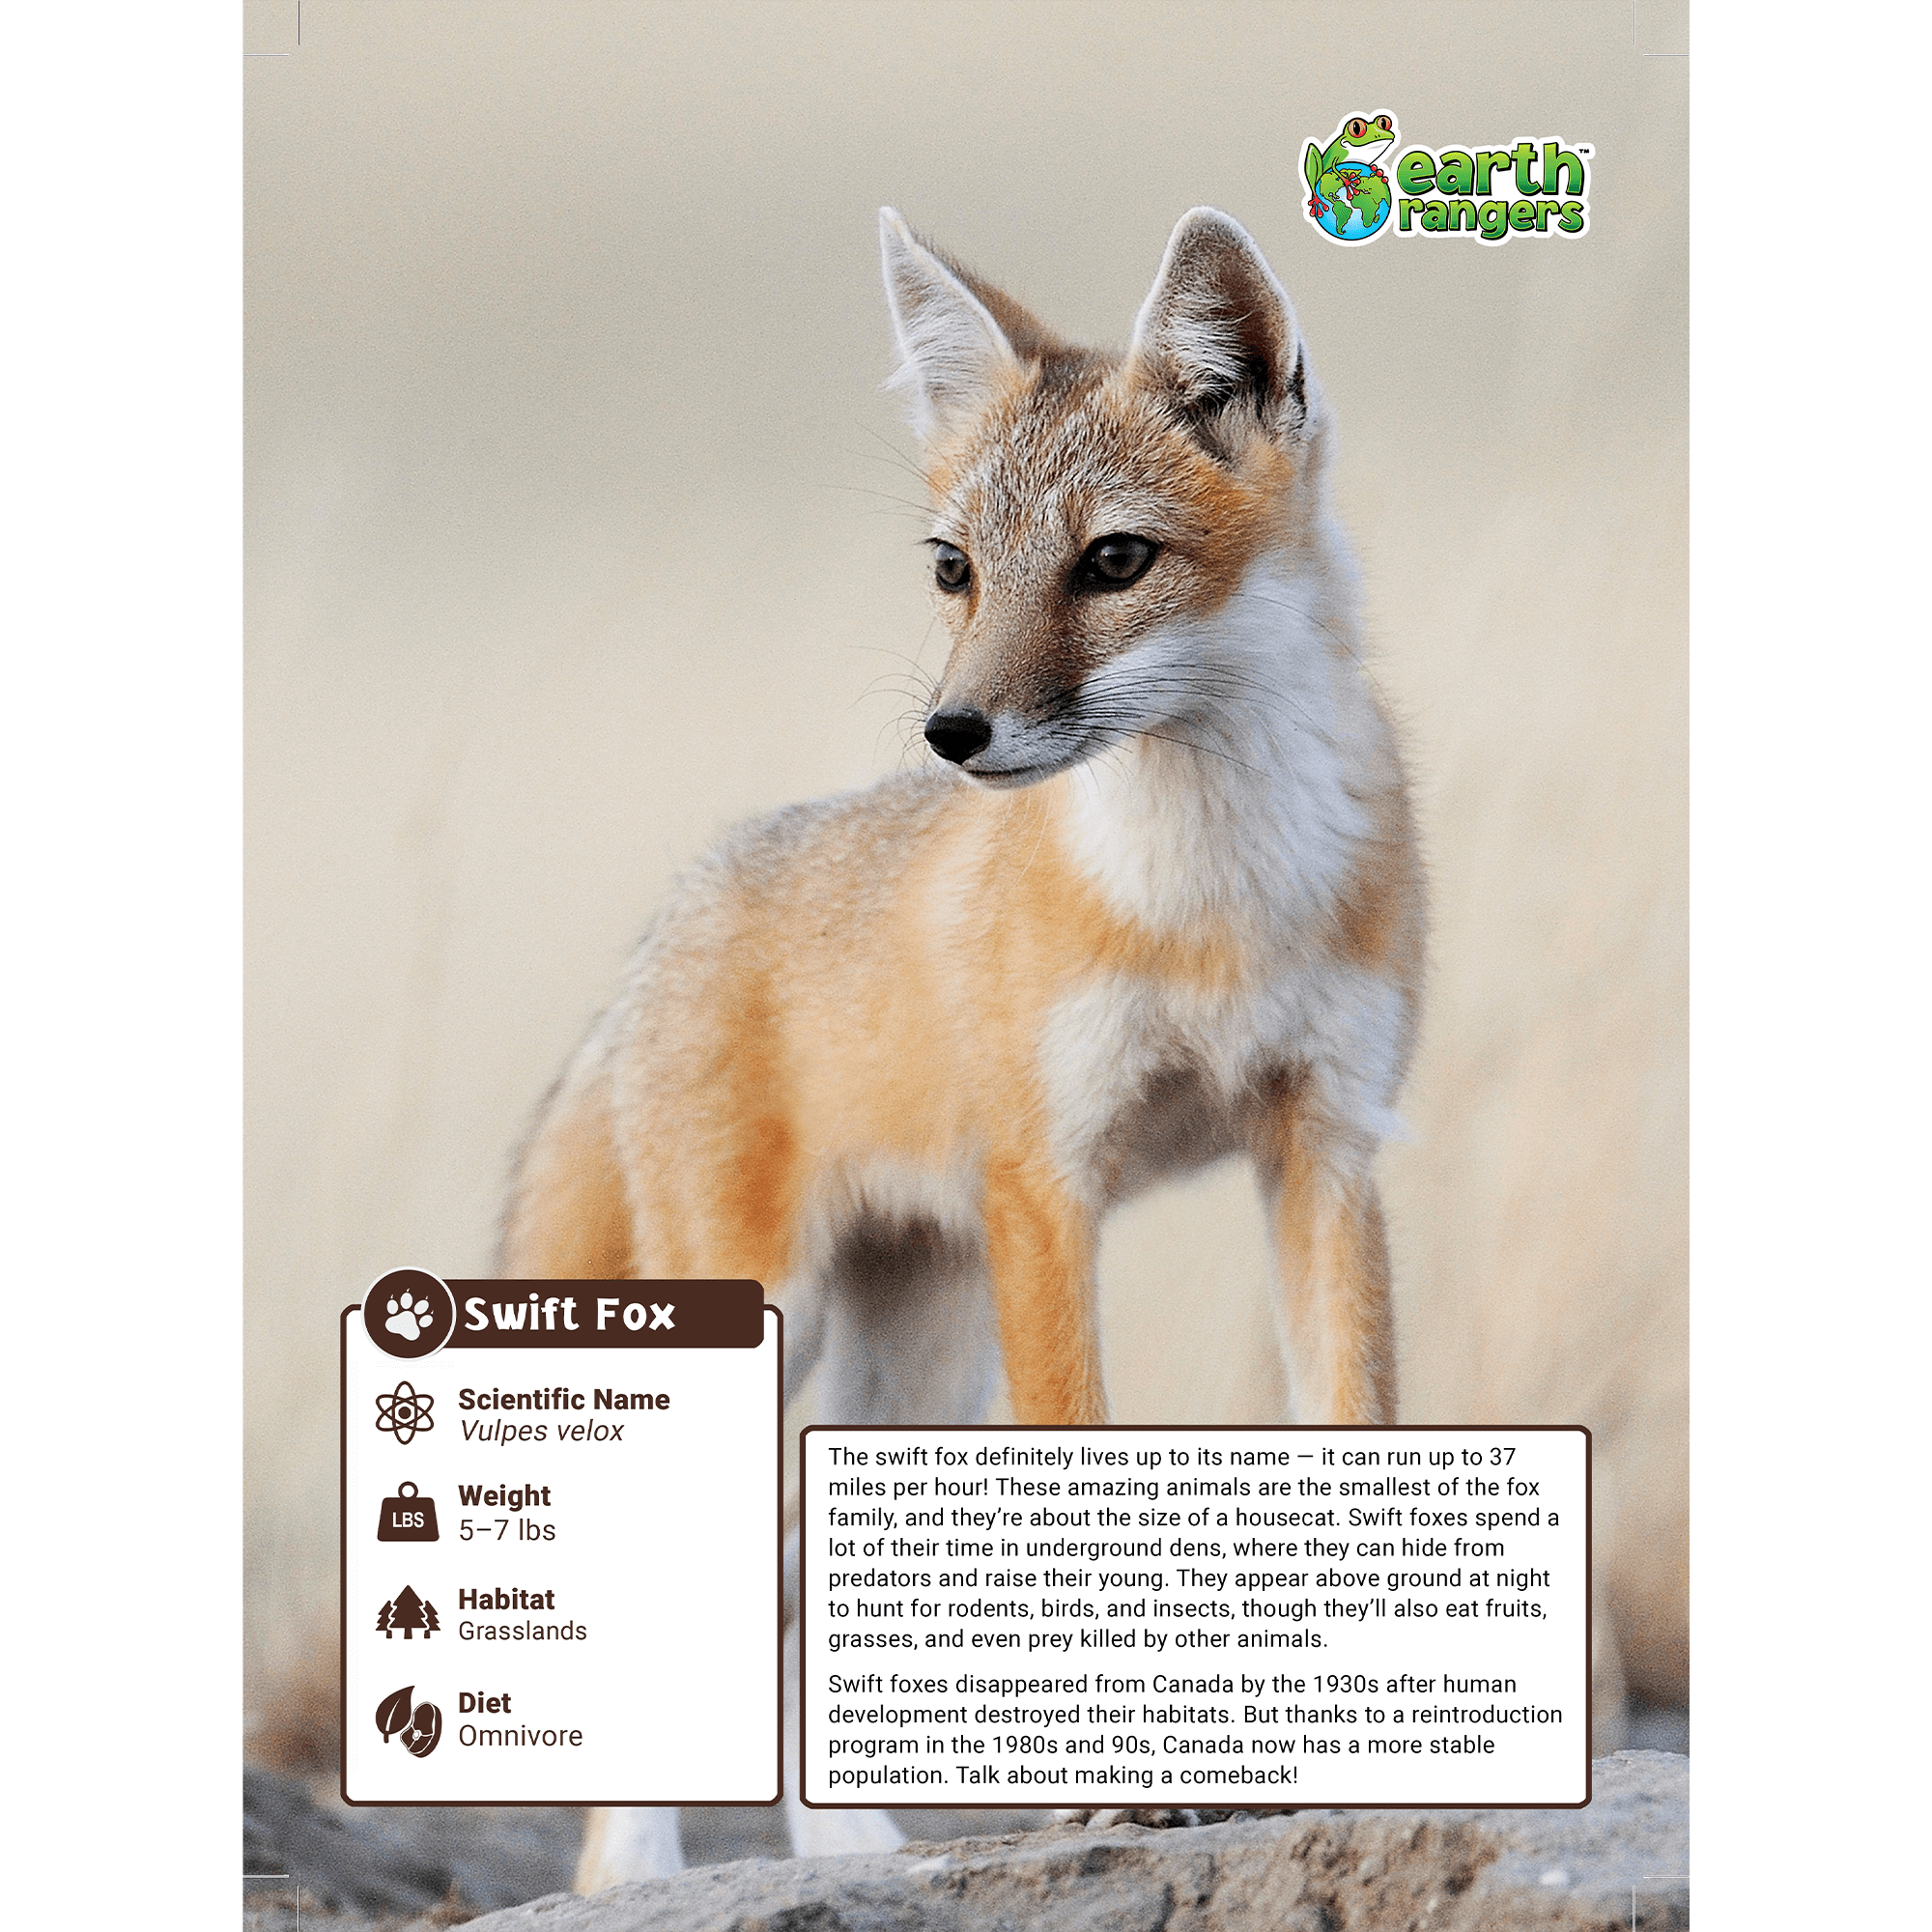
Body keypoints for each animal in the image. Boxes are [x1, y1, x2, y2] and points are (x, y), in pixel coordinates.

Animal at [500, 204, 1425, 1891]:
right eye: (955, 570)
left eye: (1113, 561)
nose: (952, 733)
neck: (1214, 902)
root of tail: (679, 904)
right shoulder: (1048, 1189)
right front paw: (1122, 1796)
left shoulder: (1326, 1148)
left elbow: (1355, 1424)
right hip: (773, 1308)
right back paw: (636, 1871)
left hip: (920, 1357)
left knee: (799, 1571)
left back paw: (849, 1843)